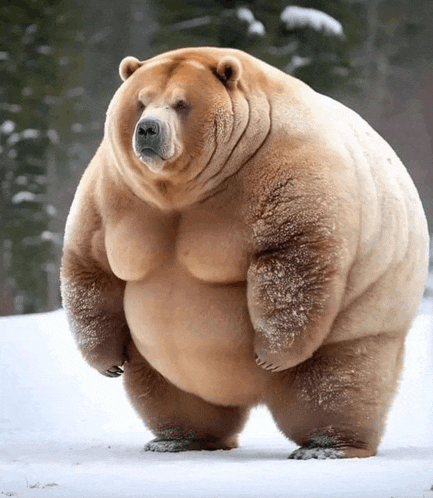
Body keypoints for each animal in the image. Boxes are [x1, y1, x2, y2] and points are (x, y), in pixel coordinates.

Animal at [60, 46, 428, 460]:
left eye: (181, 103)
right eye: (141, 101)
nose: (148, 129)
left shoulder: (285, 168)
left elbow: (293, 259)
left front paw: (269, 352)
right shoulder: (117, 187)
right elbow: (91, 261)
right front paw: (107, 362)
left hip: (370, 307)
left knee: (337, 383)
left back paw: (328, 446)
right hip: (158, 355)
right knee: (170, 392)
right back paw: (178, 438)